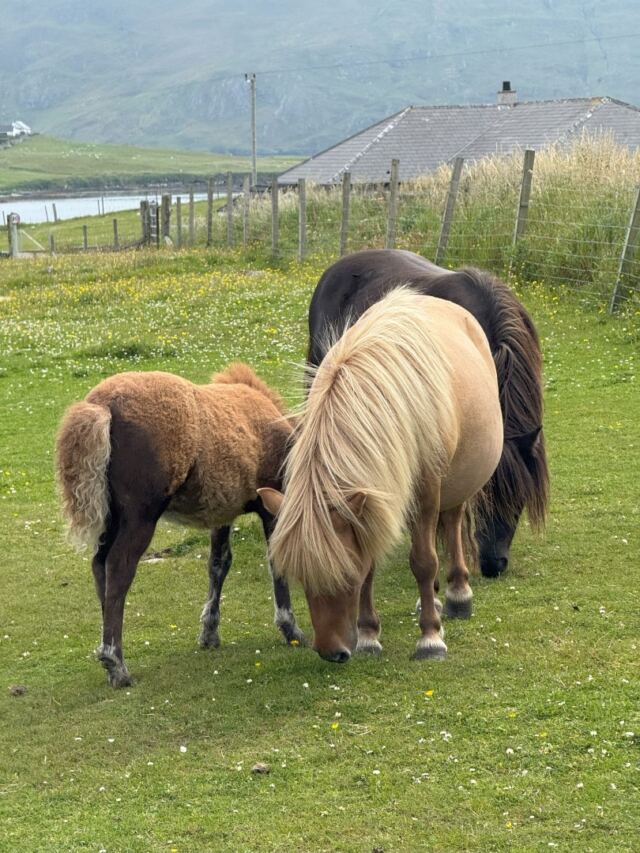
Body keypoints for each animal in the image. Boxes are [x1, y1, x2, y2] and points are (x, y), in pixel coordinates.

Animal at [55, 363, 303, 688]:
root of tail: (101, 405)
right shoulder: (272, 505)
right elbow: (277, 563)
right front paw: (291, 630)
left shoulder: (222, 513)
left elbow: (219, 563)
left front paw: (209, 632)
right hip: (140, 517)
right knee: (118, 568)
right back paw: (116, 663)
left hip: (113, 518)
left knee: (99, 566)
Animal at [259, 289, 503, 662]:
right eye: (300, 577)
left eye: (346, 575)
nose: (331, 652)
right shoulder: (374, 503)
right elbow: (373, 562)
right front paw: (368, 635)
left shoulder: (426, 493)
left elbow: (423, 561)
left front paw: (430, 638)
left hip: (456, 483)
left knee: (452, 524)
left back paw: (457, 595)